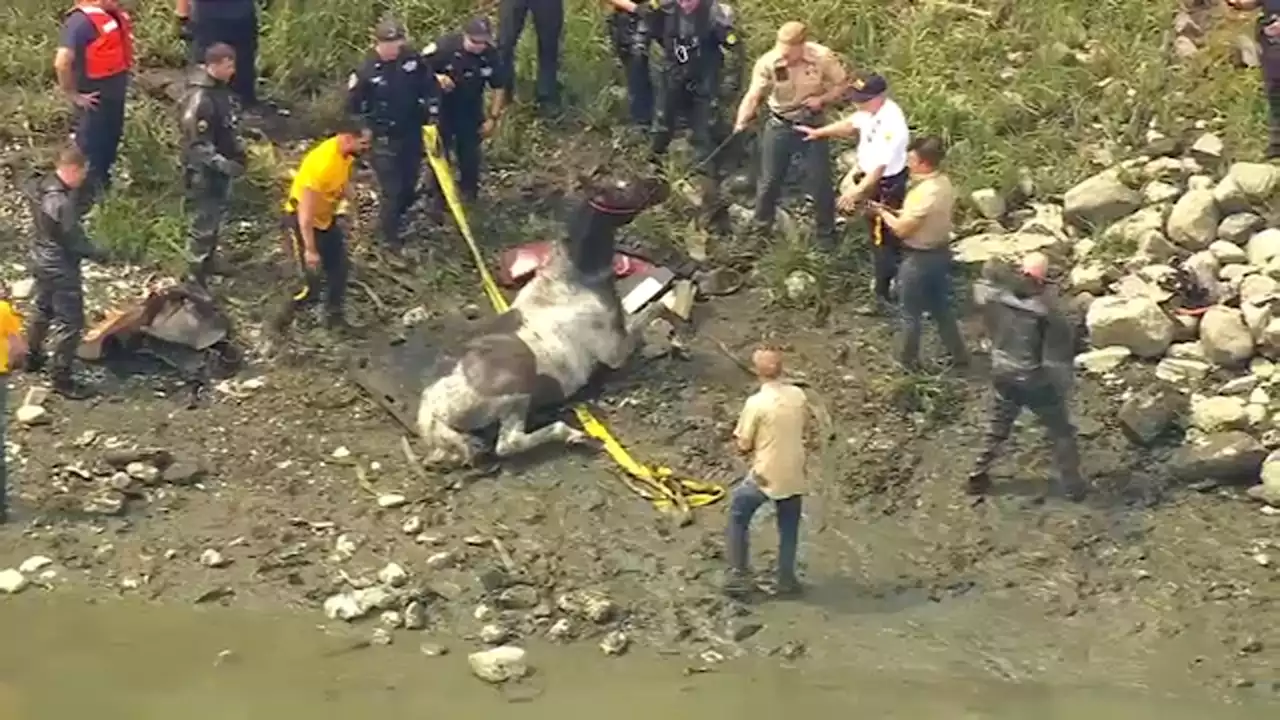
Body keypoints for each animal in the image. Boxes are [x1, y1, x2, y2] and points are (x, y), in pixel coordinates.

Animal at [417, 174, 680, 466]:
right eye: (623, 189)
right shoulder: (615, 351)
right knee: (509, 444)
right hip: (517, 390)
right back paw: (575, 435)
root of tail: (433, 409)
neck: (574, 278)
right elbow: (654, 308)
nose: (663, 183)